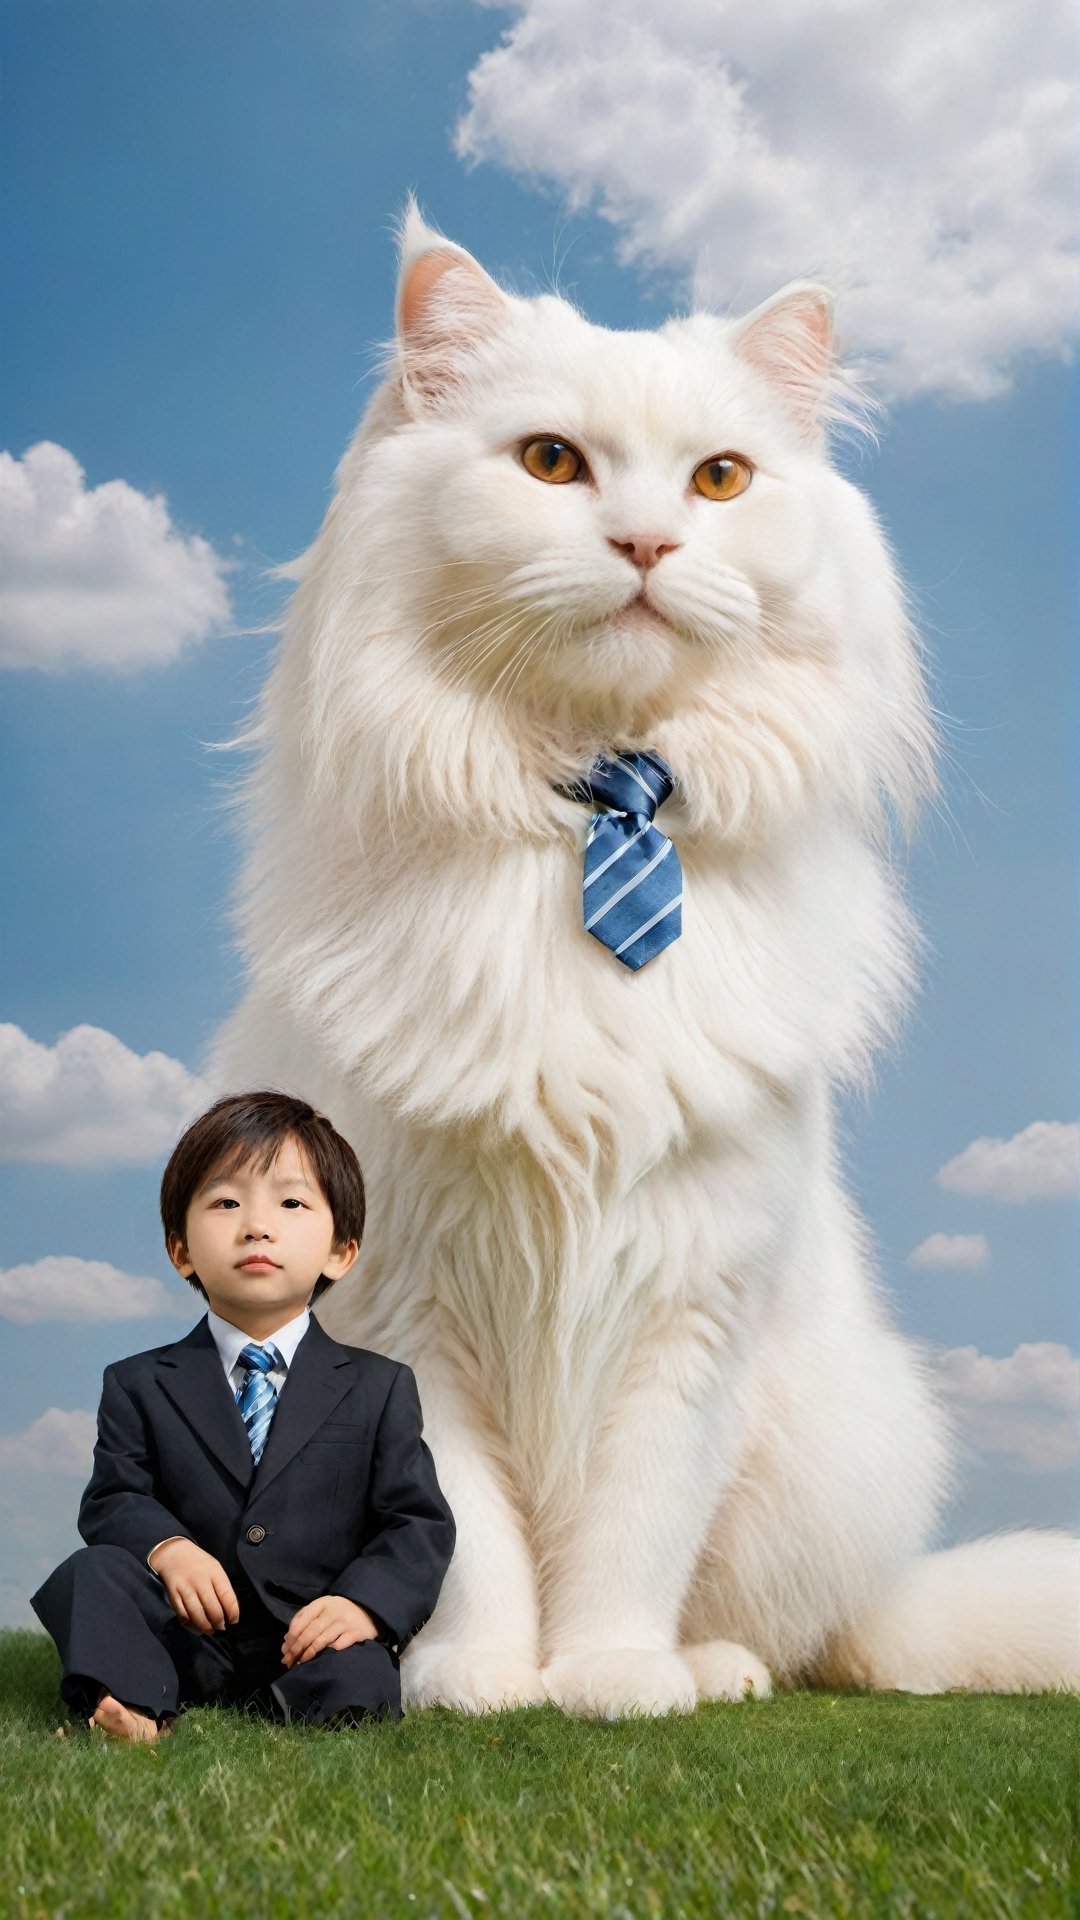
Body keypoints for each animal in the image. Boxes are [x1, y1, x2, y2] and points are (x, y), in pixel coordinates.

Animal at [208, 206, 1068, 1712]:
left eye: (721, 480)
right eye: (552, 462)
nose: (650, 540)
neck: (594, 824)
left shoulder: (689, 1302)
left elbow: (633, 1528)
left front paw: (609, 1675)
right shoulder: (414, 1299)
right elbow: (466, 1535)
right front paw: (482, 1681)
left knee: (781, 1634)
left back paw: (709, 1669)